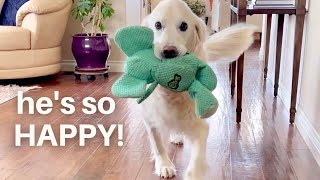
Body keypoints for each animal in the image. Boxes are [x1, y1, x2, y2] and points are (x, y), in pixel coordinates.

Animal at [139, 0, 256, 179]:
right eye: (157, 25)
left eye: (184, 26)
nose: (169, 52)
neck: (171, 93)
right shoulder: (151, 118)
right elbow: (158, 145)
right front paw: (164, 165)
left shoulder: (199, 124)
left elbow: (197, 157)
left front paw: (193, 173)